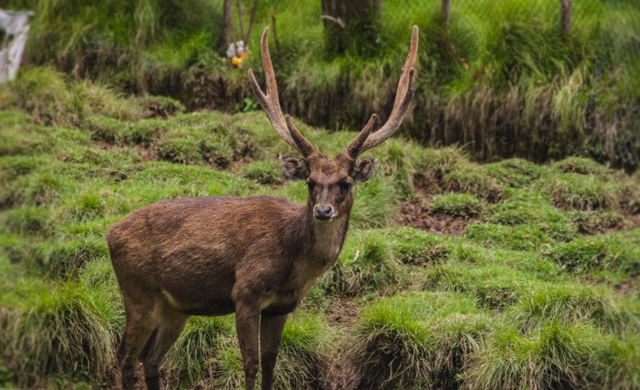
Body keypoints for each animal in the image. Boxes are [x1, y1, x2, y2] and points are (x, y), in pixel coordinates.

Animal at [107, 25, 418, 390]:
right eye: (310, 182)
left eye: (345, 182)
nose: (323, 211)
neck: (295, 265)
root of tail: (109, 234)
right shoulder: (245, 292)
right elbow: (251, 364)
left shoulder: (279, 307)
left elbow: (271, 364)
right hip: (137, 291)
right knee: (126, 356)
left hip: (175, 307)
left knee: (150, 358)